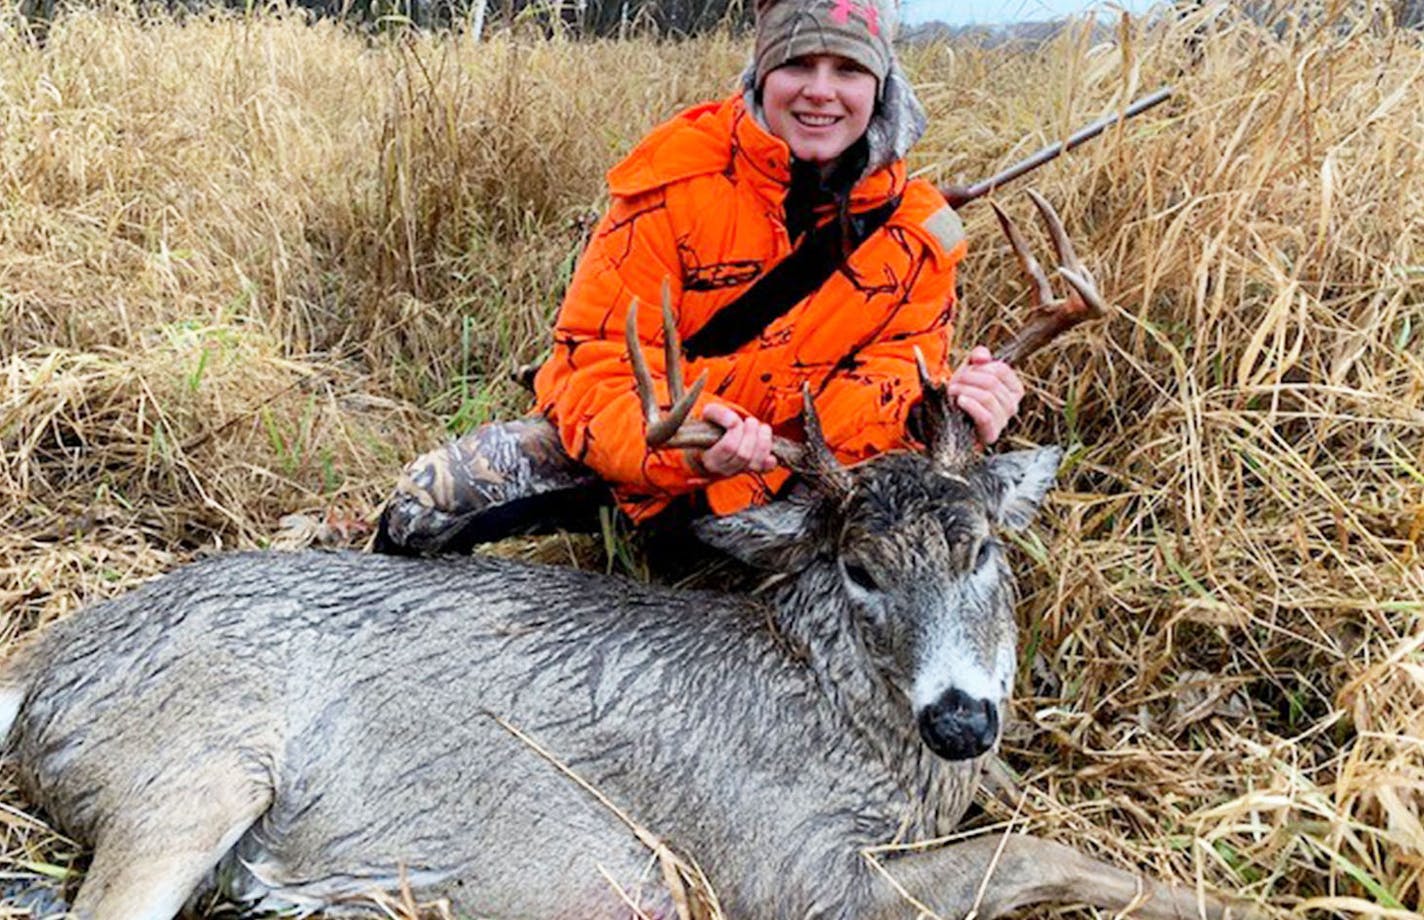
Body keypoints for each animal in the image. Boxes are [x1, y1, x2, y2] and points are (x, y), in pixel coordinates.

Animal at [0, 195, 1236, 920]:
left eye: (981, 548)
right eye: (858, 568)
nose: (962, 720)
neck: (847, 721)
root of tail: (48, 657)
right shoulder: (780, 864)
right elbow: (1032, 852)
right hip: (189, 770)